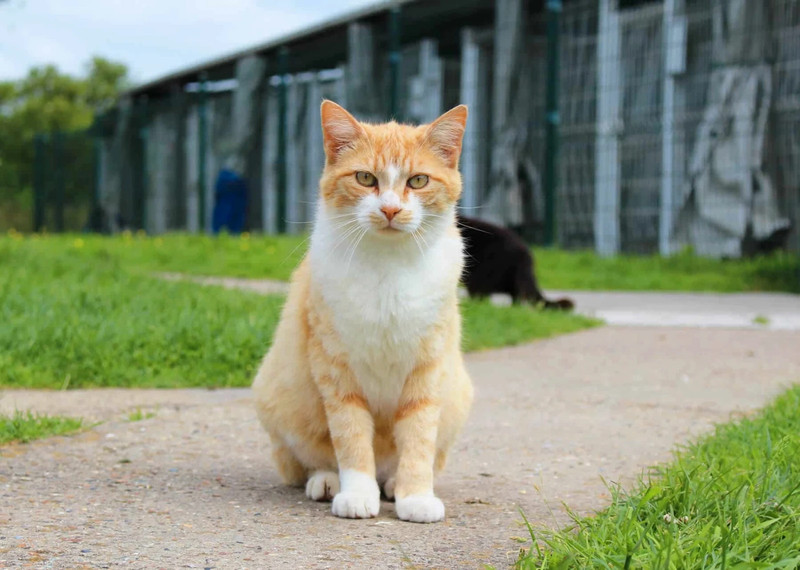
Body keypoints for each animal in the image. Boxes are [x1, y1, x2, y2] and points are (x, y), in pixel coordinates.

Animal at [253, 100, 472, 520]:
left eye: (418, 181)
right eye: (366, 178)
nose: (390, 209)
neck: (387, 266)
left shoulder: (428, 368)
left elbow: (419, 438)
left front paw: (416, 496)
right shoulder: (336, 368)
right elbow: (350, 436)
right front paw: (356, 494)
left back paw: (394, 483)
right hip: (278, 400)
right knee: (307, 461)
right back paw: (327, 481)